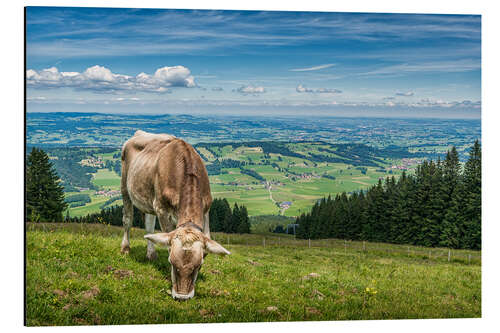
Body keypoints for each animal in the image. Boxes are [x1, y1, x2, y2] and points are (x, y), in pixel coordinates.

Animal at [121, 129, 230, 298]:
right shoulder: (162, 209)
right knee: (127, 219)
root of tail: (138, 133)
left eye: (198, 265)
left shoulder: (206, 209)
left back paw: (151, 254)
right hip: (125, 186)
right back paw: (125, 248)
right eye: (171, 261)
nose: (181, 296)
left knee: (149, 226)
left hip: (150, 199)